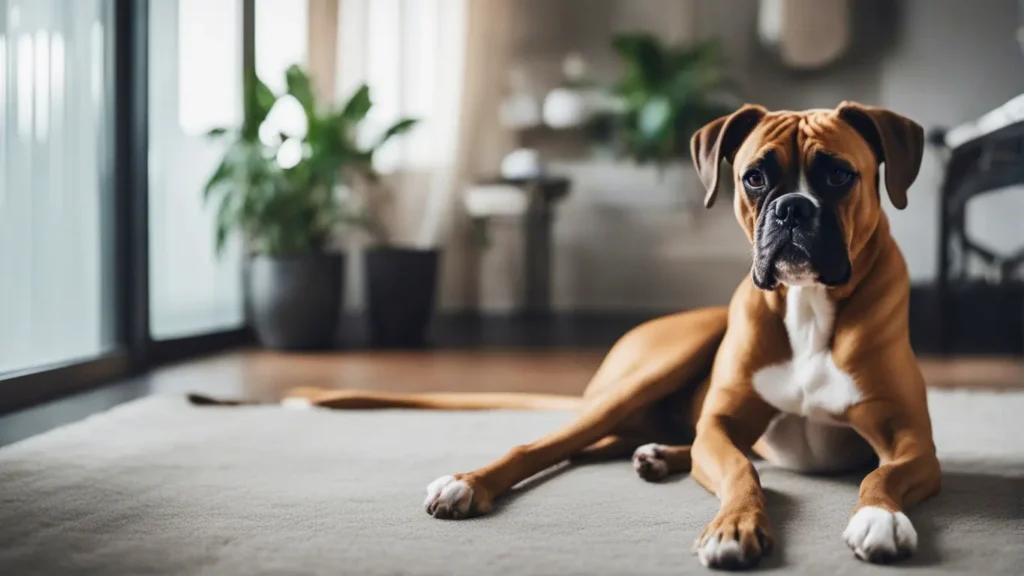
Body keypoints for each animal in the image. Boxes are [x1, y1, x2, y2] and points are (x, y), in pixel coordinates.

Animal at [192, 101, 937, 565]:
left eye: (839, 175)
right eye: (754, 177)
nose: (792, 209)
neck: (808, 305)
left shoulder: (912, 444)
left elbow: (880, 475)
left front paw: (877, 516)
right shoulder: (726, 430)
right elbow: (741, 473)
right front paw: (734, 524)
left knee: (616, 443)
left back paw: (657, 455)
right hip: (647, 374)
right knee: (551, 443)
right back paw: (469, 483)